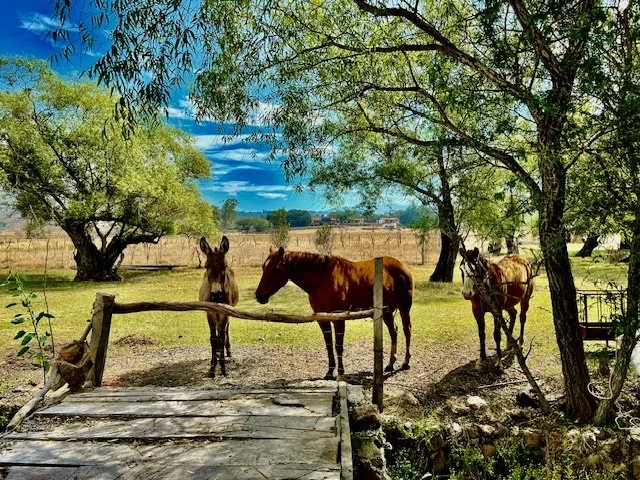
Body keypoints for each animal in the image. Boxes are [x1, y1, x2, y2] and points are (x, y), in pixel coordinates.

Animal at [199, 235, 239, 377]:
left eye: (224, 266)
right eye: (206, 267)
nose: (216, 295)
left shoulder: (224, 313)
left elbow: (221, 336)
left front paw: (222, 367)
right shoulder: (210, 313)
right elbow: (213, 338)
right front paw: (212, 367)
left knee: (225, 331)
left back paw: (227, 351)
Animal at [255, 247, 413, 379]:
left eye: (275, 269)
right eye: (263, 267)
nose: (259, 296)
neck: (322, 278)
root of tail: (403, 266)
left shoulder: (338, 318)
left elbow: (338, 346)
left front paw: (341, 372)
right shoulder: (322, 319)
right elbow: (329, 345)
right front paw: (330, 372)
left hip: (404, 308)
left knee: (407, 331)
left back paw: (405, 363)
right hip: (387, 311)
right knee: (394, 332)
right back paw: (390, 364)